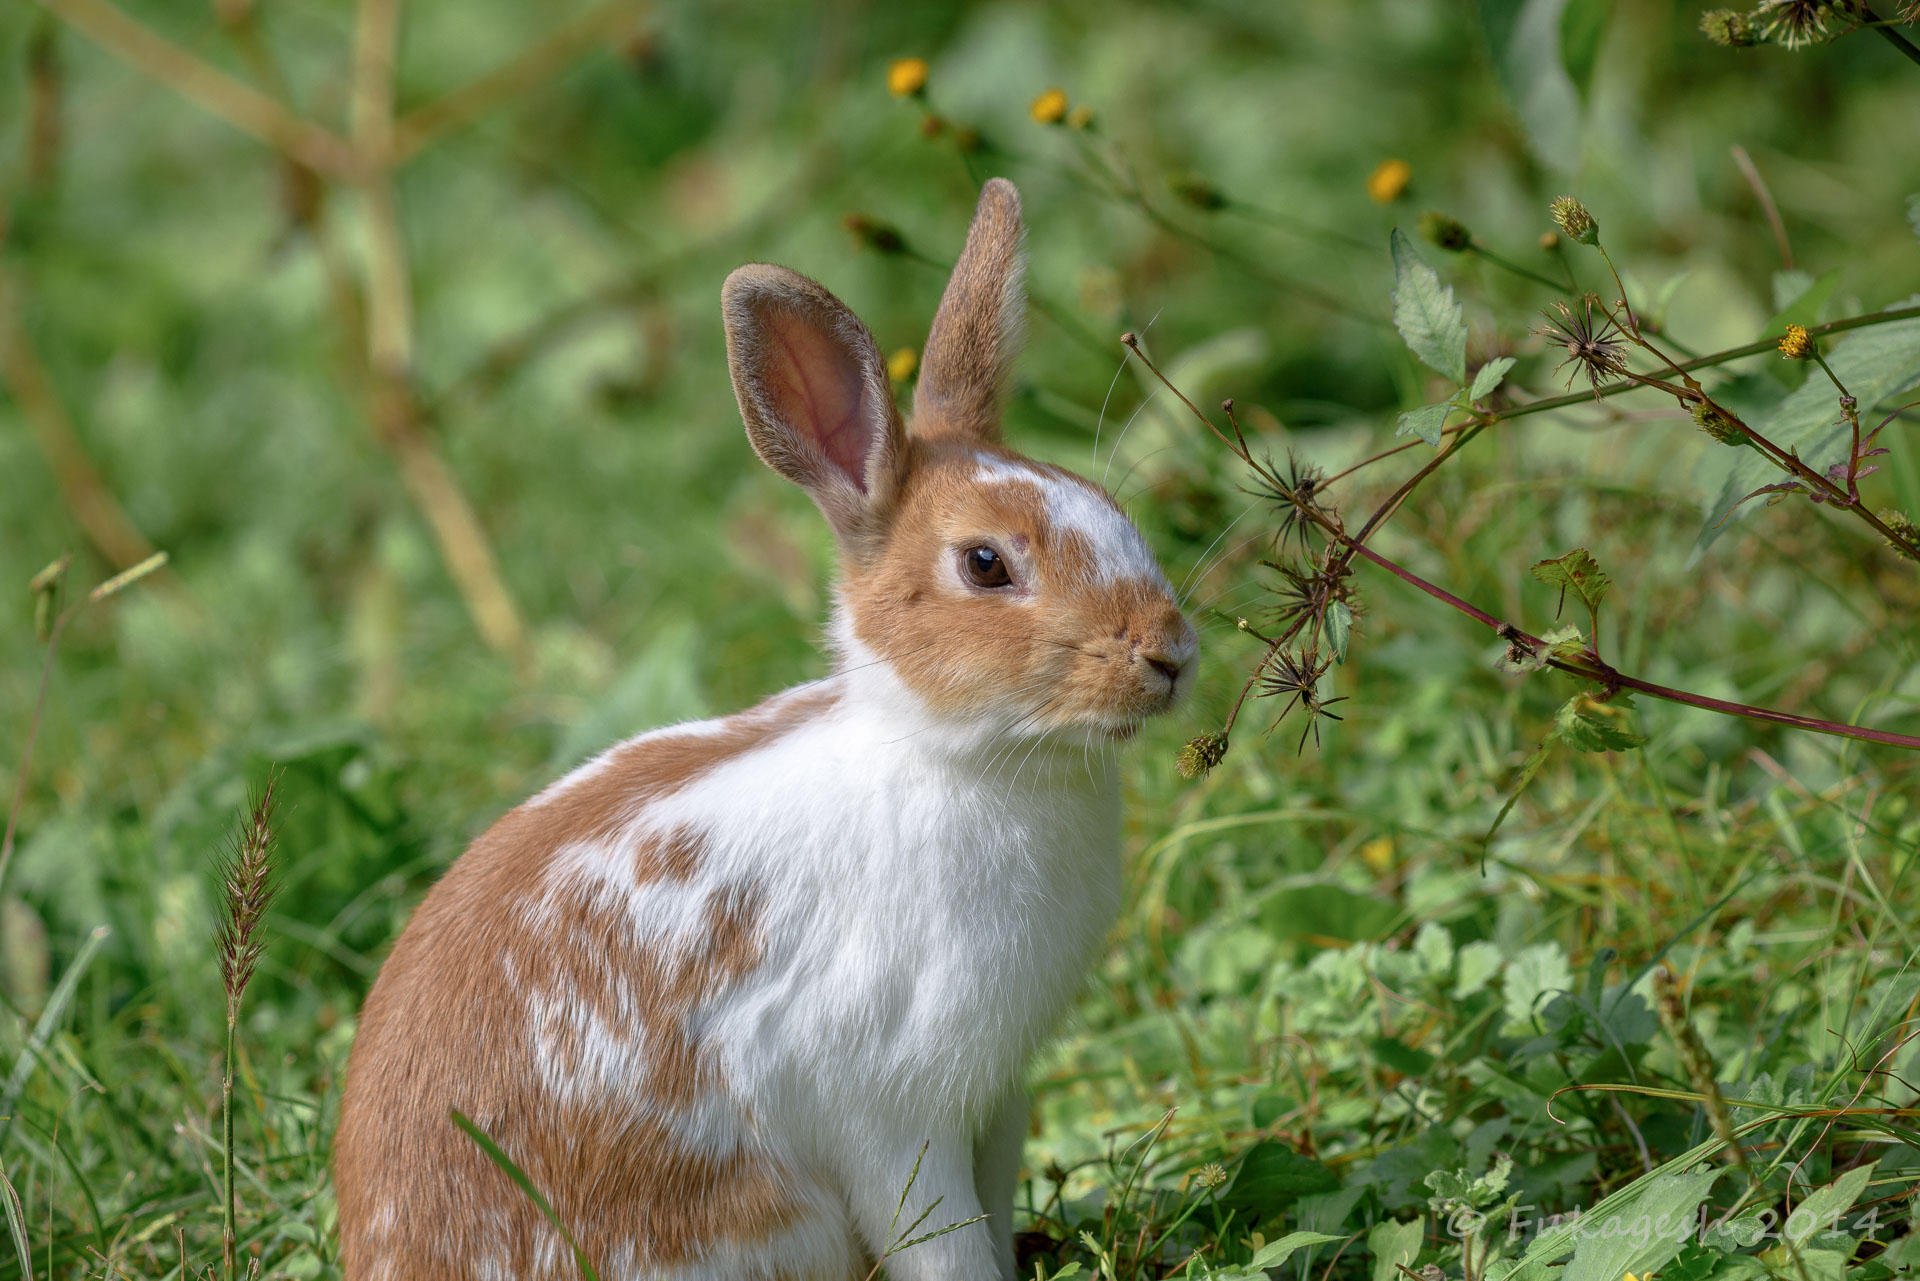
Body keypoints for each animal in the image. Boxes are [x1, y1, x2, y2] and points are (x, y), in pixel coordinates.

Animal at [334, 177, 1198, 1281]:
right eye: (986, 565)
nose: (1171, 653)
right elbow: (946, 1245)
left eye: (1112, 510)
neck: (950, 755)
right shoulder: (894, 1113)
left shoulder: (997, 1101)